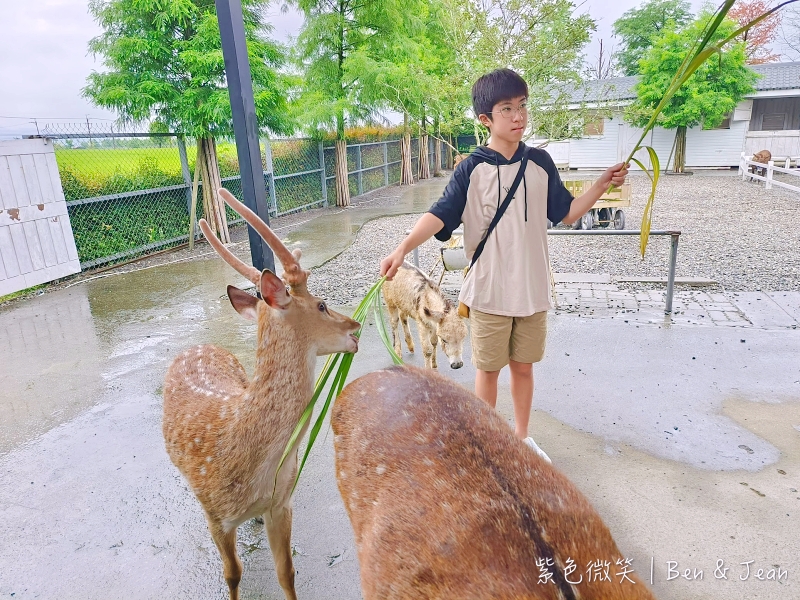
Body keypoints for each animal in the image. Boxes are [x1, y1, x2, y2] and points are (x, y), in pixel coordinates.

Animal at [162, 189, 360, 600]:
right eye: (321, 304)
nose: (355, 325)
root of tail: (198, 346)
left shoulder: (282, 501)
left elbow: (287, 571)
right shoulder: (217, 517)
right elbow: (232, 574)